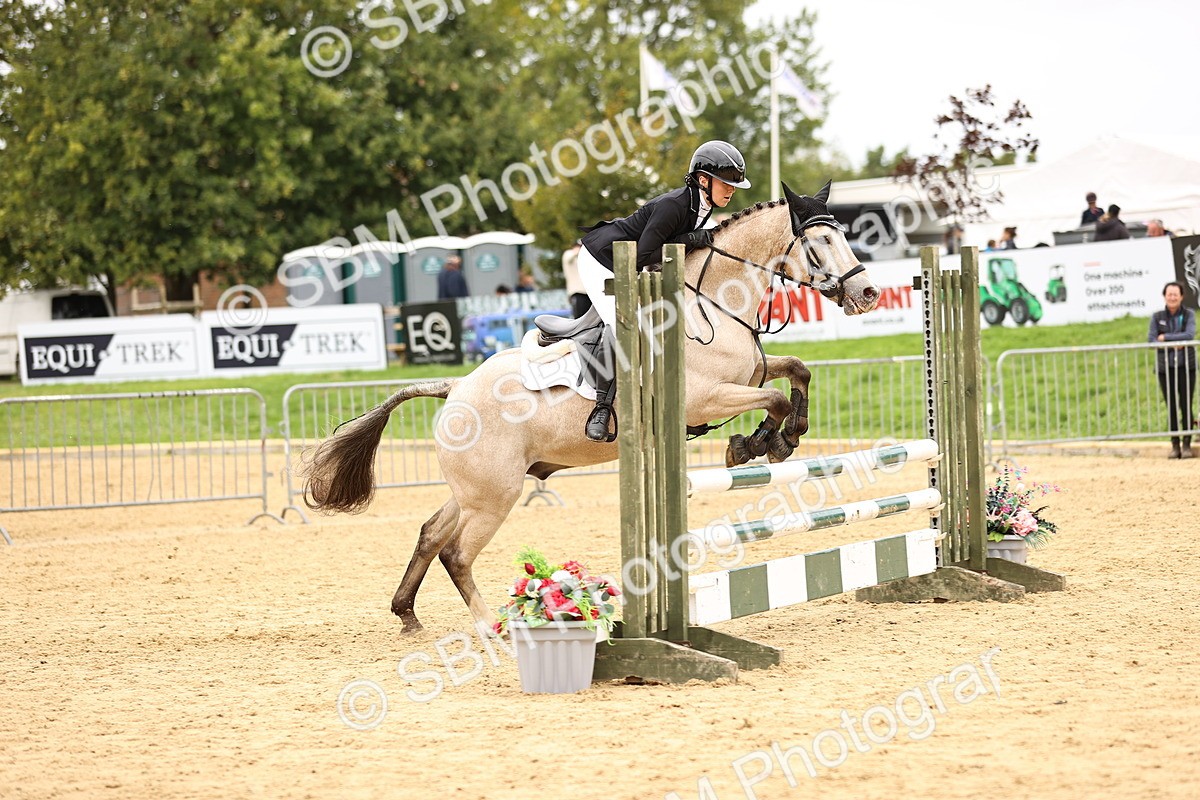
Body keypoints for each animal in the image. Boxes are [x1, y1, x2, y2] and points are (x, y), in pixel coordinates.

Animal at [302, 180, 880, 631]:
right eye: (821, 242)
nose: (869, 294)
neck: (713, 301)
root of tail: (454, 389)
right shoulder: (702, 399)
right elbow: (775, 397)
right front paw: (757, 444)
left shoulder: (749, 373)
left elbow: (795, 372)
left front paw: (781, 436)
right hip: (494, 496)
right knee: (456, 552)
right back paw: (491, 626)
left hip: (476, 489)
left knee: (429, 533)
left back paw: (407, 615)